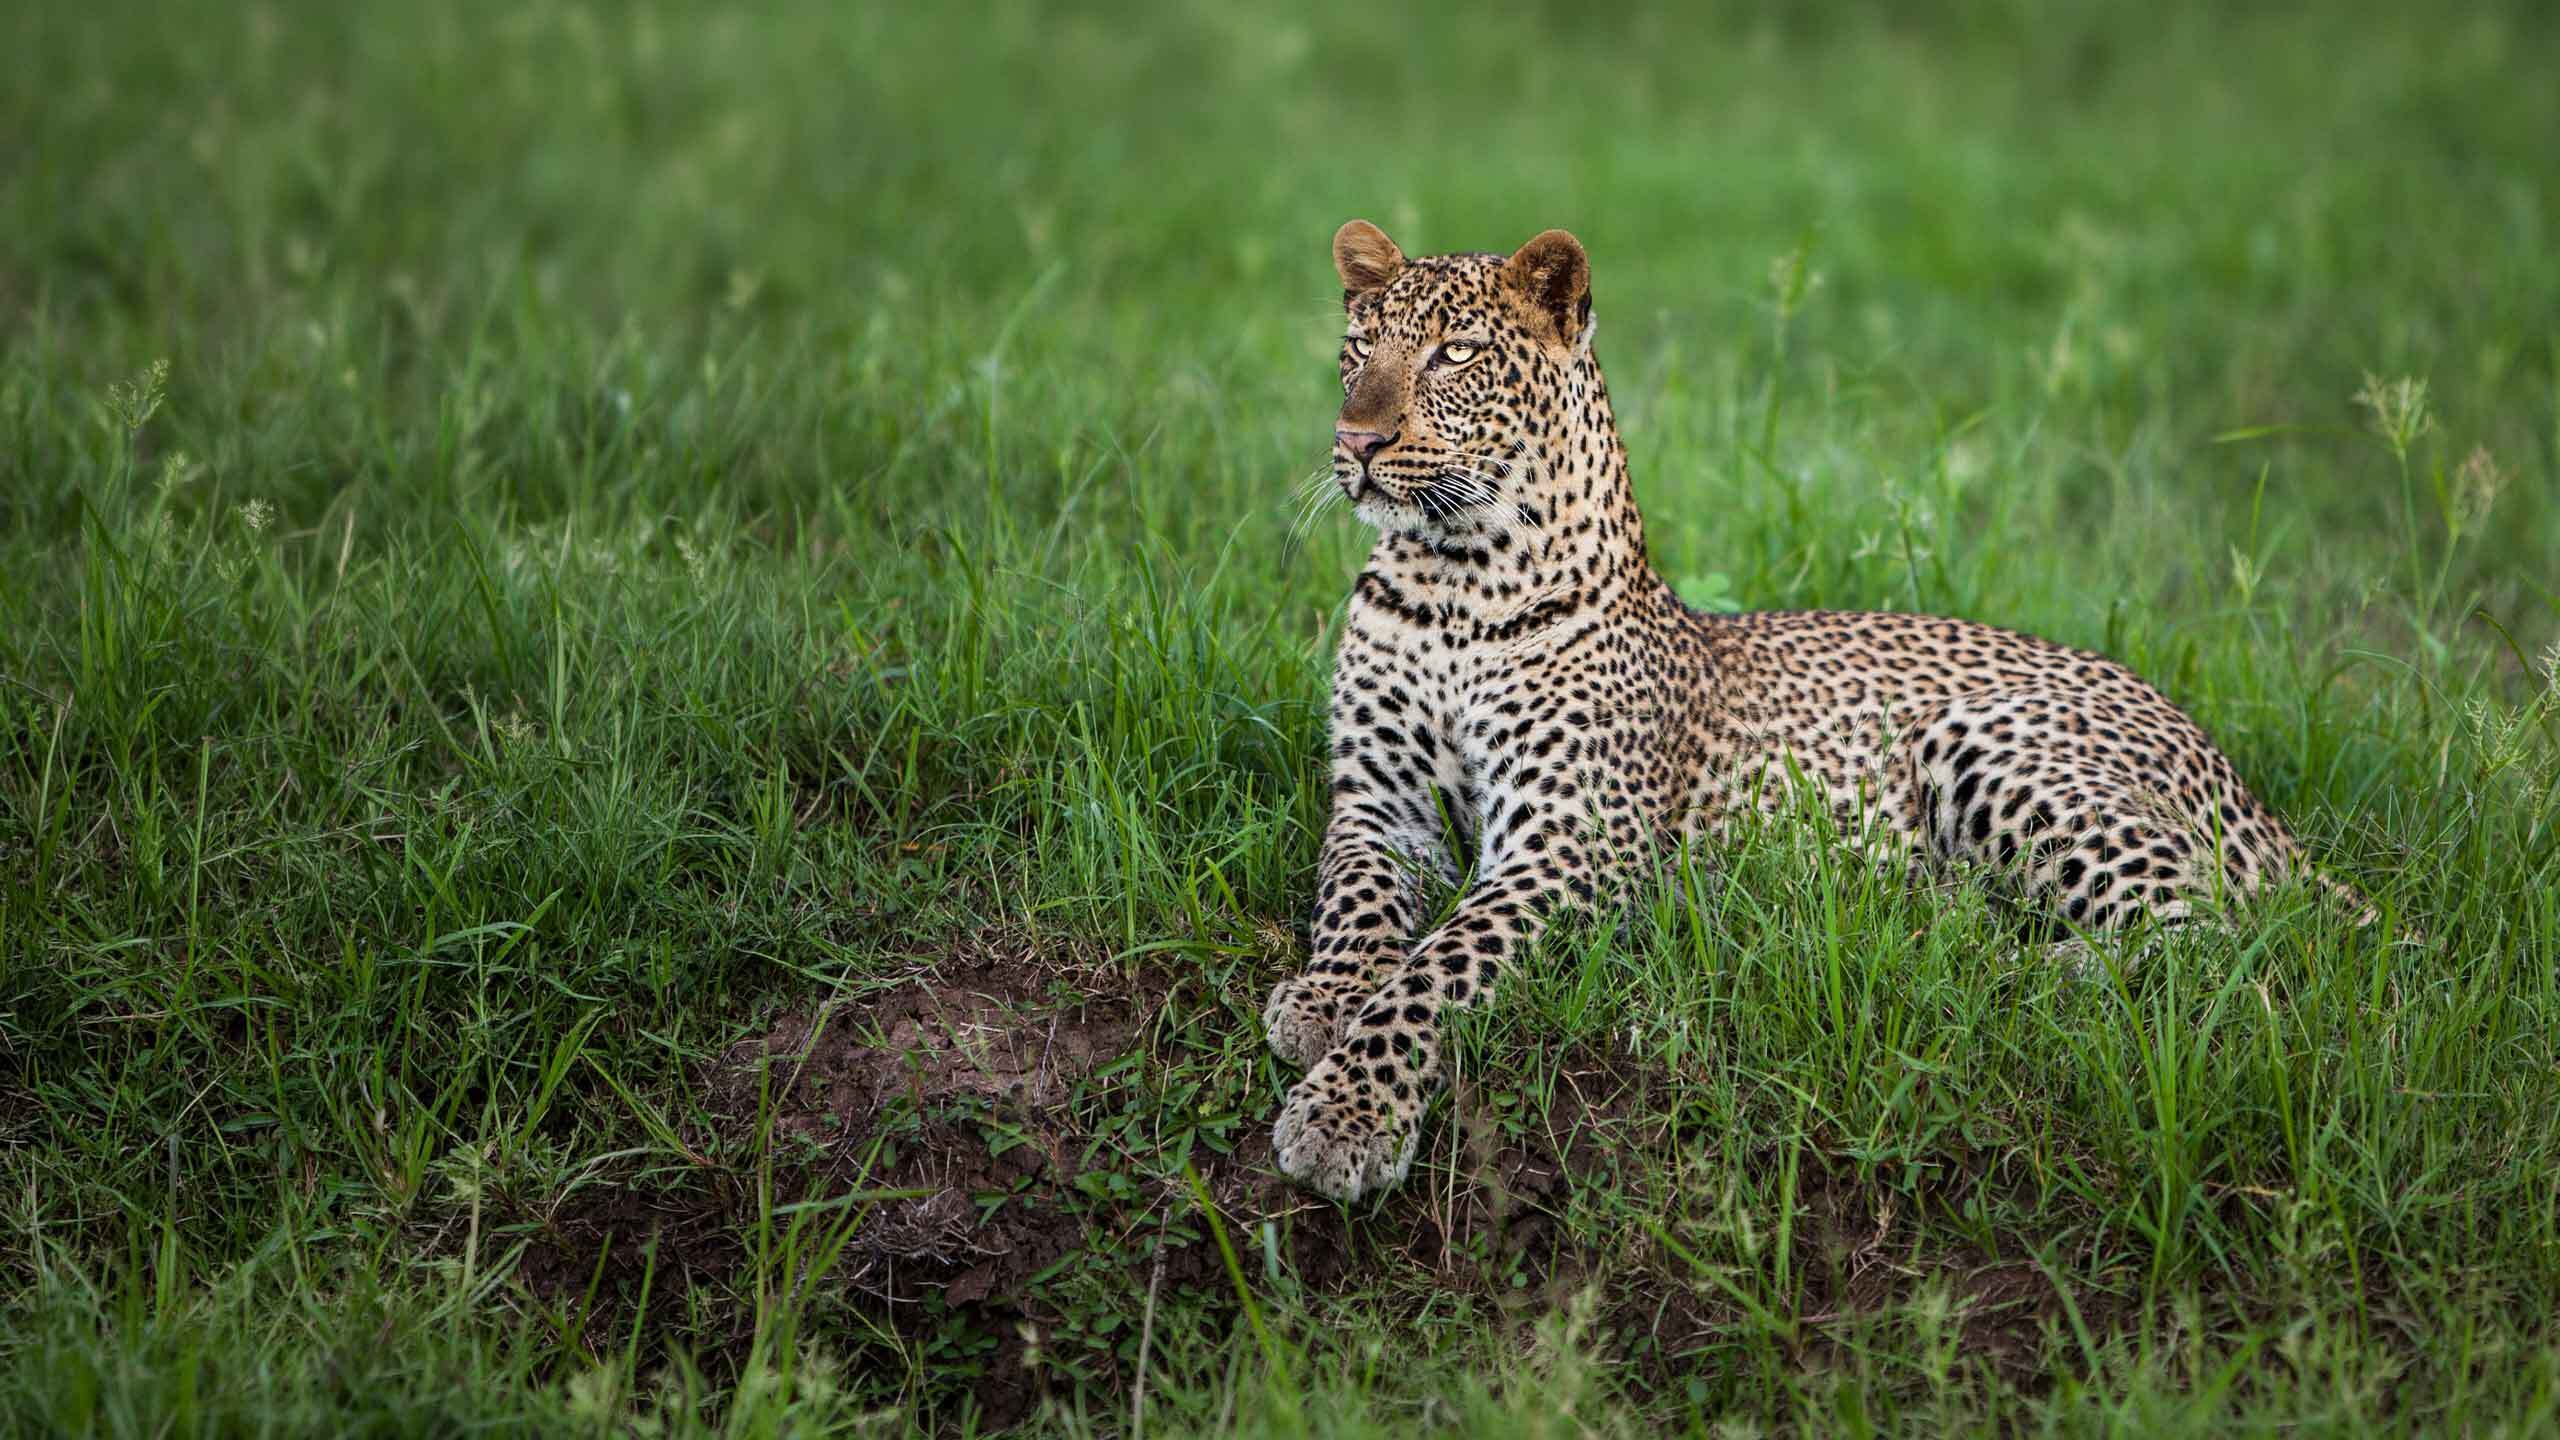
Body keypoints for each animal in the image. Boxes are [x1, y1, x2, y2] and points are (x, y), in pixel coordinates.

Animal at [1263, 219, 2371, 1202]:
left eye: (1455, 354)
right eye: (1360, 346)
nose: (1356, 438)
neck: (1452, 582)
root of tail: (2232, 774)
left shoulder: (1569, 846)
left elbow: (1437, 969)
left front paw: (1347, 1117)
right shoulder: (1380, 805)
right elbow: (1356, 902)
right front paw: (1324, 1000)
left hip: (1989, 742)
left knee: (2219, 935)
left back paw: (2025, 965)